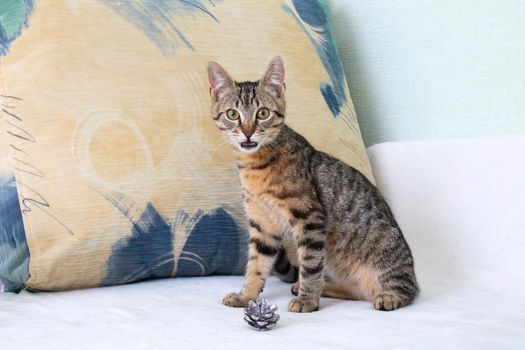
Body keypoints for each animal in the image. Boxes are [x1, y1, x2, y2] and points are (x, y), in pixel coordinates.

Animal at [207, 56, 416, 312]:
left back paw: (388, 296)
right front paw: (246, 296)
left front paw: (307, 301)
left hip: (383, 245)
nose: (248, 133)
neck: (255, 167)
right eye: (232, 114)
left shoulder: (310, 217)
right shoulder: (262, 225)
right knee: (357, 291)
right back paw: (323, 287)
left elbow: (310, 264)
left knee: (404, 289)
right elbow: (256, 265)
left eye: (263, 113)